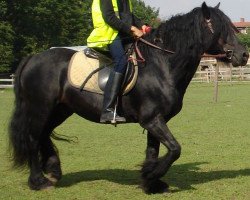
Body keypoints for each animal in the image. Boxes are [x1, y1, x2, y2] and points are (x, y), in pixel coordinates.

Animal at [8, 2, 249, 194]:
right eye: (220, 27)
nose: (244, 54)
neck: (161, 65)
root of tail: (32, 58)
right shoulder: (151, 119)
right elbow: (175, 149)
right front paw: (151, 176)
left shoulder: (156, 120)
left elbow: (155, 151)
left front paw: (151, 182)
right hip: (40, 108)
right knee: (33, 138)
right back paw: (38, 181)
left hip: (60, 109)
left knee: (44, 134)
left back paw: (53, 170)